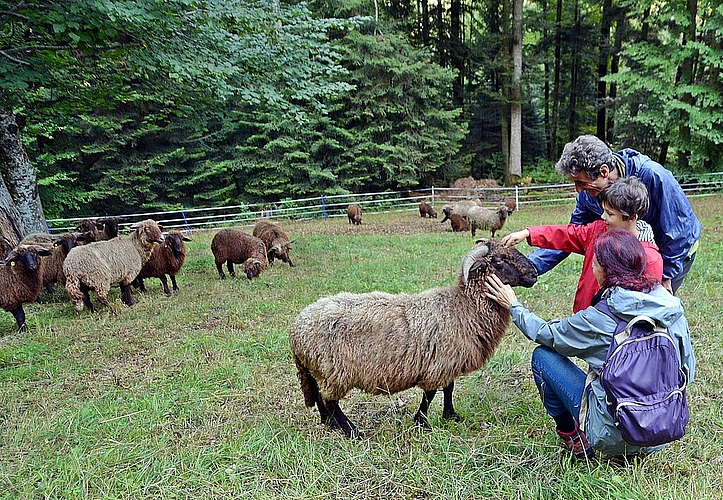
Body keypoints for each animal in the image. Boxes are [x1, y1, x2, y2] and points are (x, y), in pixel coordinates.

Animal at [288, 239, 536, 438]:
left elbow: (449, 389)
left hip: (317, 370)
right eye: (498, 260)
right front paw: (423, 422)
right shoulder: (438, 364)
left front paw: (450, 415)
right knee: (330, 401)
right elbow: (431, 394)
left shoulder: (446, 363)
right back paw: (352, 431)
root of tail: (296, 328)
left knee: (319, 397)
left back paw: (329, 423)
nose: (534, 273)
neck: (463, 307)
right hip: (334, 371)